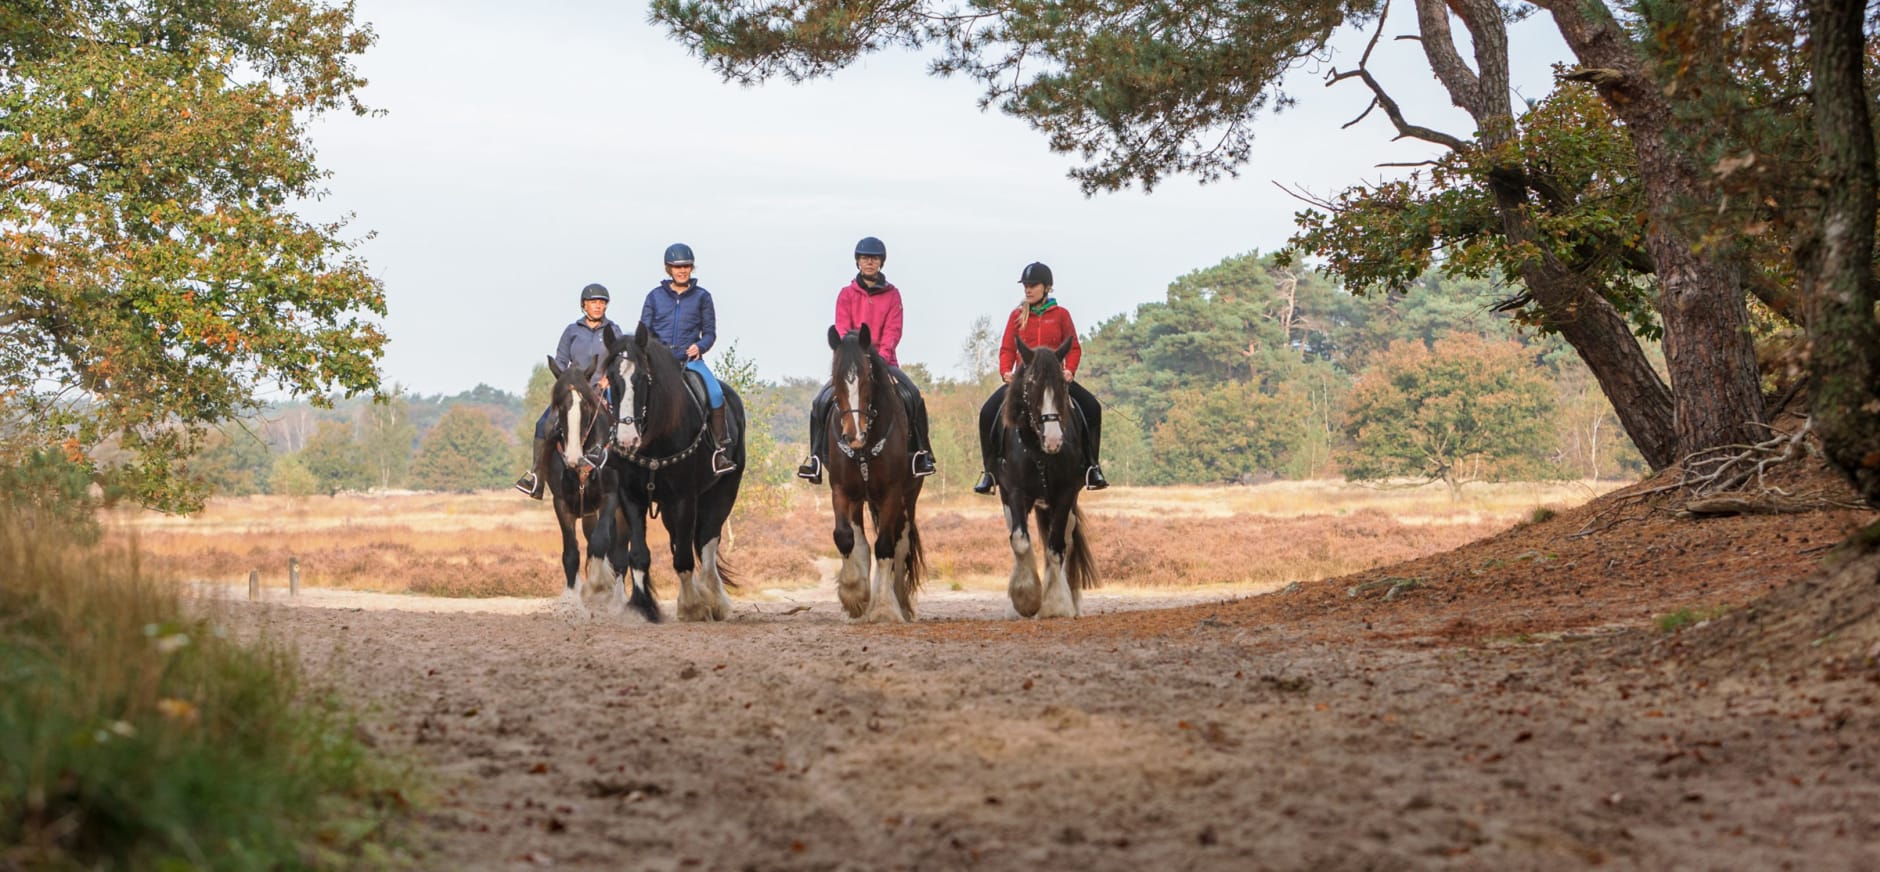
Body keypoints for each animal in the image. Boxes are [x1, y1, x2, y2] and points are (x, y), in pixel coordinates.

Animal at [541, 357, 612, 597]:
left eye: (587, 405)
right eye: (560, 406)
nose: (572, 456)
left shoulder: (609, 499)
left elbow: (601, 545)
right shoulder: (562, 503)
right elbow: (571, 554)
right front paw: (571, 599)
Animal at [582, 323, 744, 623]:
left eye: (644, 378)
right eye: (611, 379)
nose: (626, 439)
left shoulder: (684, 498)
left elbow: (684, 557)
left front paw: (691, 606)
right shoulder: (632, 497)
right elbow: (639, 555)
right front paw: (643, 606)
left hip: (723, 492)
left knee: (707, 541)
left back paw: (715, 600)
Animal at [823, 325, 924, 620]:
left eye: (868, 377)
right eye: (835, 378)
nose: (854, 435)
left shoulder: (892, 493)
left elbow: (885, 547)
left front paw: (883, 608)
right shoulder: (841, 490)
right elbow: (845, 537)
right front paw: (854, 596)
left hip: (908, 499)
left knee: (899, 543)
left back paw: (899, 601)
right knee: (861, 542)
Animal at [992, 336, 1097, 616]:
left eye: (1063, 384)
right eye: (1030, 385)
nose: (1053, 440)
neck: (1039, 449)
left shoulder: (1064, 494)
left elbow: (1056, 548)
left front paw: (1055, 604)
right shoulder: (1016, 492)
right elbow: (1020, 540)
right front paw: (1026, 598)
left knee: (1065, 540)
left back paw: (1070, 599)